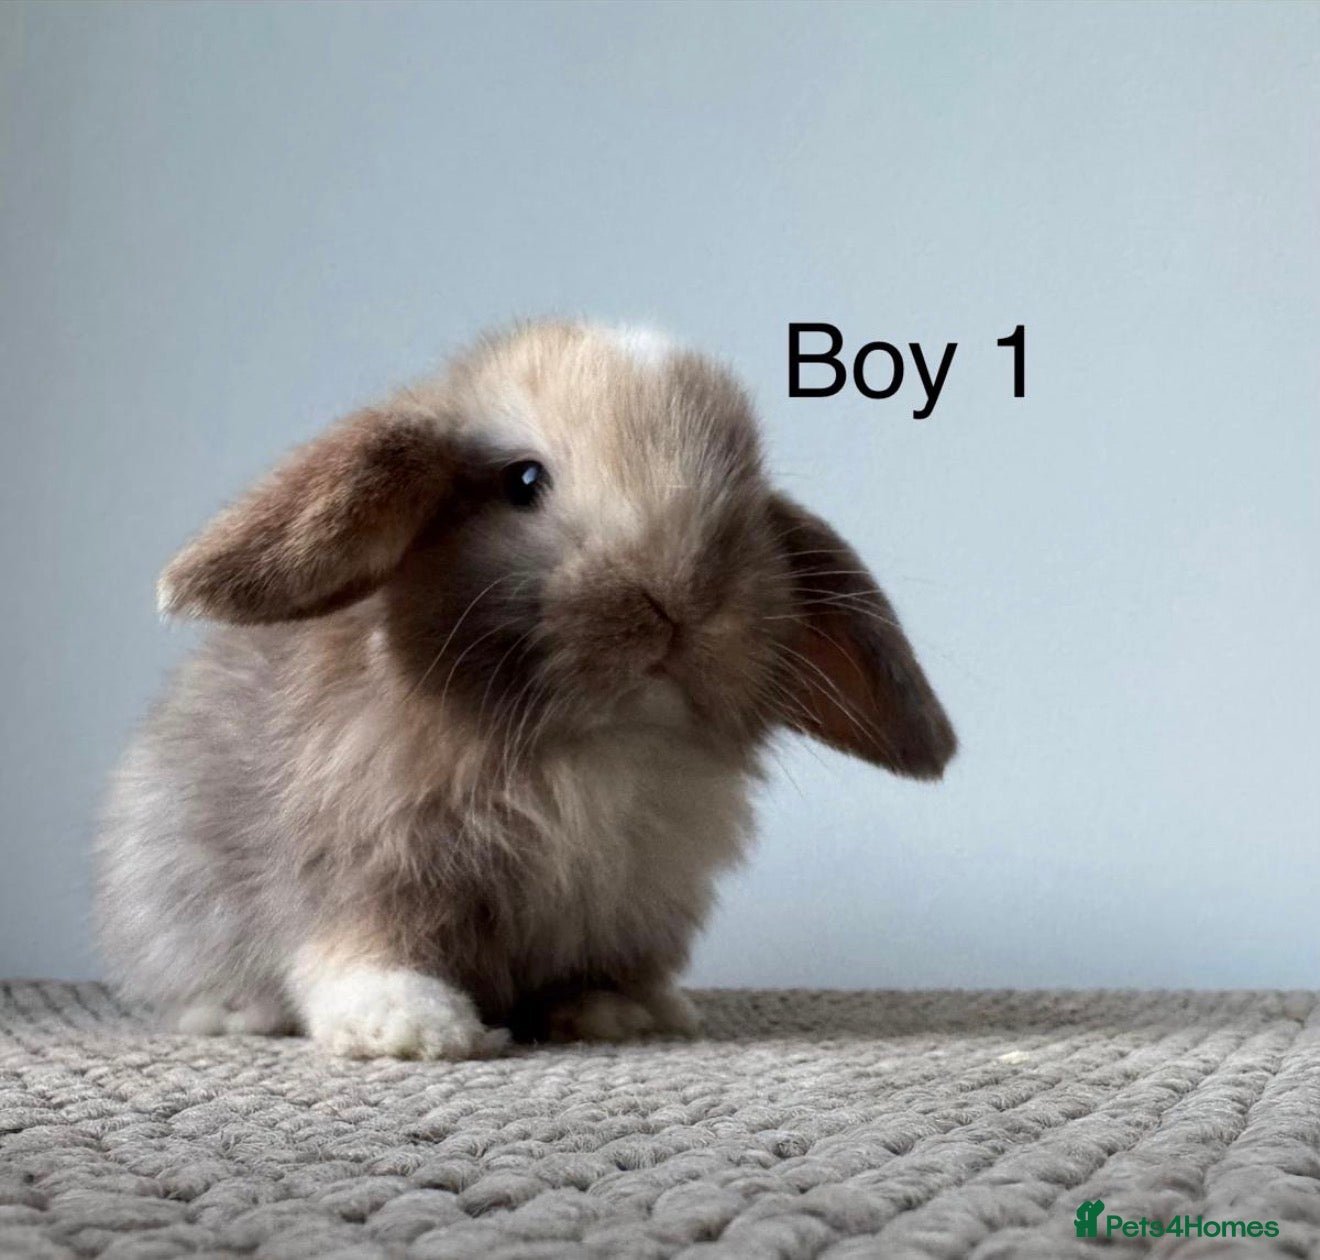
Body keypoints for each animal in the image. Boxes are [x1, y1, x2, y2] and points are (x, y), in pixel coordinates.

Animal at [95, 320, 956, 1058]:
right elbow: (364, 951)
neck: (596, 742)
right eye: (524, 480)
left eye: (746, 499)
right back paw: (233, 1011)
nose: (679, 598)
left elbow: (598, 967)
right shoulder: (368, 869)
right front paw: (413, 1028)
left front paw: (619, 1012)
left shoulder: (624, 902)